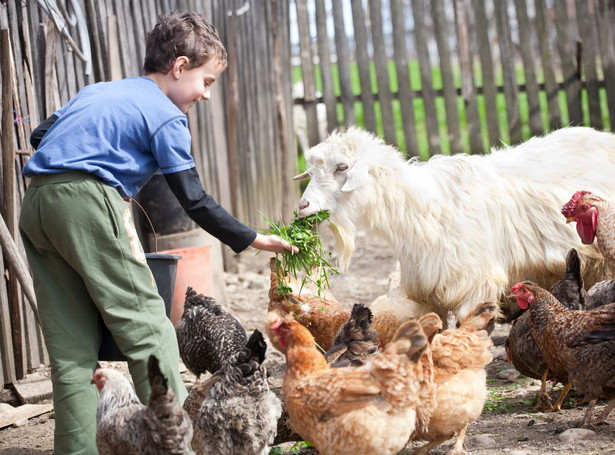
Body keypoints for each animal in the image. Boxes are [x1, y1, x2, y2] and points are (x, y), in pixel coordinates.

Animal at [294, 126, 615, 322]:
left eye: (342, 167)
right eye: (310, 171)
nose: (302, 207)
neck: (420, 208)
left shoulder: (473, 286)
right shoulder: (427, 295)